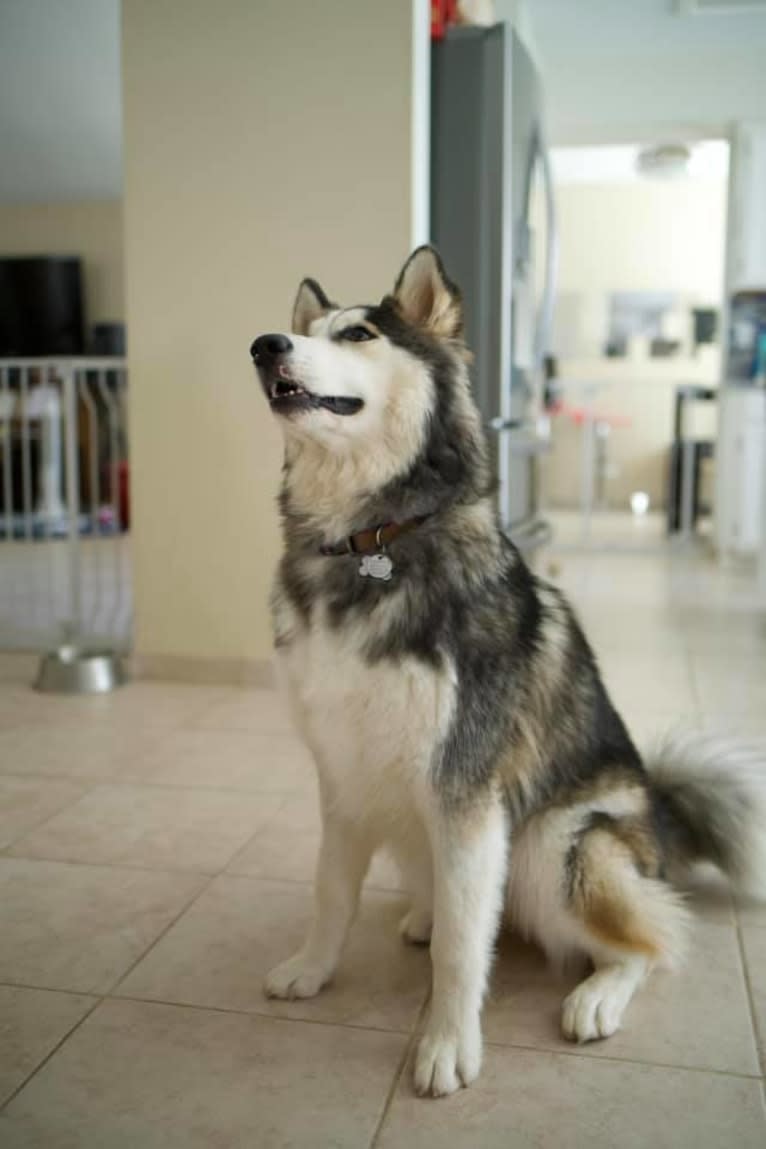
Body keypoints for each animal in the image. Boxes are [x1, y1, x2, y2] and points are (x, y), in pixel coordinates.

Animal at [250, 247, 766, 1098]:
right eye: (304, 328)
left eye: (357, 333)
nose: (264, 346)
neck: (370, 542)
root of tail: (658, 819)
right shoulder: (344, 770)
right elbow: (332, 890)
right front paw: (310, 968)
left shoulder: (468, 793)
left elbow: (465, 948)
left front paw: (446, 1044)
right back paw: (423, 915)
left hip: (552, 845)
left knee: (654, 940)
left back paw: (597, 995)